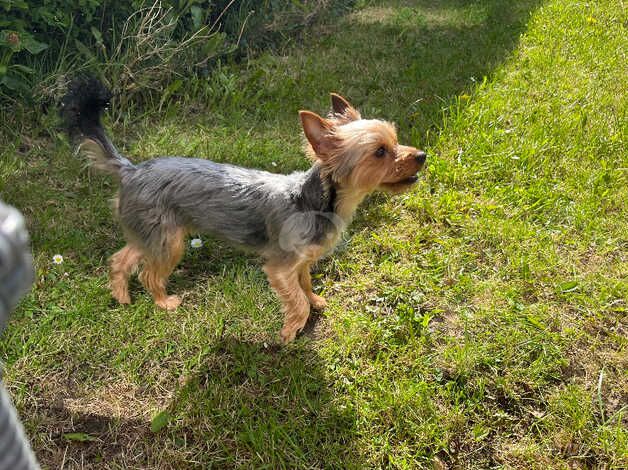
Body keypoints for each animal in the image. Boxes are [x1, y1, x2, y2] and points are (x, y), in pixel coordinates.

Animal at [61, 77, 424, 342]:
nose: (422, 155)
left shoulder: (302, 262)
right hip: (169, 242)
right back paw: (164, 303)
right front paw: (290, 332)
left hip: (153, 234)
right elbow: (296, 302)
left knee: (121, 258)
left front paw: (316, 300)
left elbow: (306, 285)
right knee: (149, 273)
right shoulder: (279, 268)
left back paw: (122, 297)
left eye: (396, 140)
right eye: (380, 152)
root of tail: (131, 170)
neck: (316, 201)